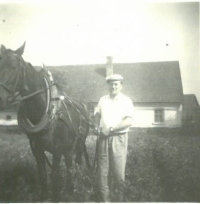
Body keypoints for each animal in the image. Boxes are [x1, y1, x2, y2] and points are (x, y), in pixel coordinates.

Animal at [0, 42, 91, 202]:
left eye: (13, 67)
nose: (0, 99)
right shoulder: (37, 150)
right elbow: (42, 174)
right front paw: (44, 197)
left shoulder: (57, 150)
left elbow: (54, 175)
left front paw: (56, 197)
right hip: (68, 147)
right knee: (69, 163)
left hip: (79, 142)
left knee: (75, 163)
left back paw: (72, 189)